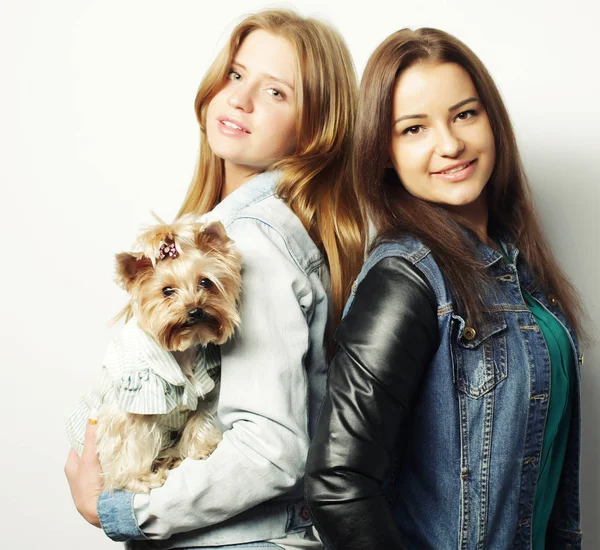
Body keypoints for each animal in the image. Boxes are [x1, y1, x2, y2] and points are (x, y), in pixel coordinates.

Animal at [66, 213, 241, 494]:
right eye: (167, 291)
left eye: (205, 282)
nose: (195, 310)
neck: (182, 351)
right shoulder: (131, 405)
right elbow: (130, 446)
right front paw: (140, 480)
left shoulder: (206, 393)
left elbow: (201, 419)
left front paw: (200, 448)